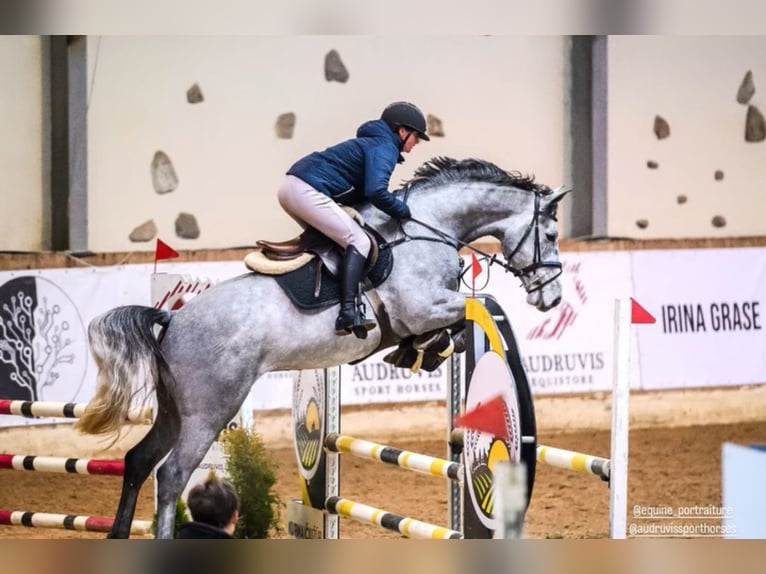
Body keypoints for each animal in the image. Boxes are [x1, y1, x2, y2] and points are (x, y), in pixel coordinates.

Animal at [75, 156, 568, 538]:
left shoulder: (426, 311)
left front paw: (419, 351)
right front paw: (427, 345)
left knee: (139, 461)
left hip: (174, 408)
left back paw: (118, 535)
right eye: (550, 236)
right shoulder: (423, 307)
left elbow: (457, 326)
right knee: (172, 474)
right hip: (210, 408)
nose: (552, 298)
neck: (428, 230)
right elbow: (470, 307)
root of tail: (172, 319)